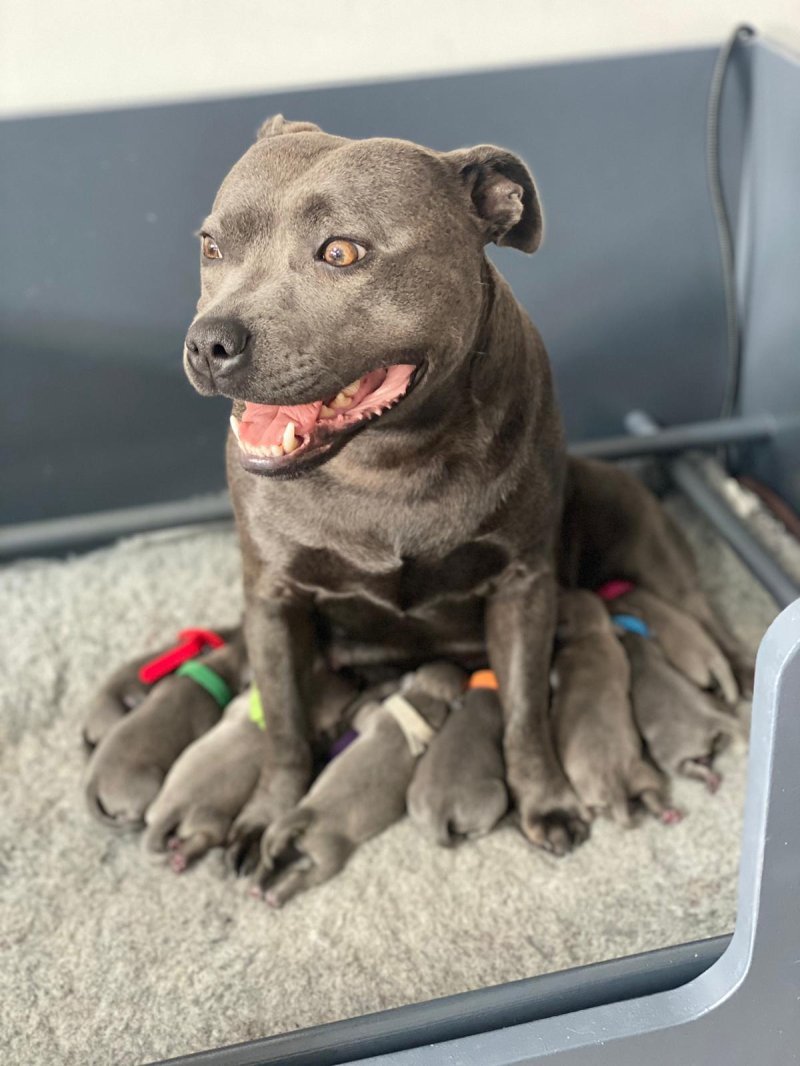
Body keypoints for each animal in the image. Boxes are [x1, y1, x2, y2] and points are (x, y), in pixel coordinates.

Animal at [257, 660, 467, 903]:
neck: (423, 702)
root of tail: (308, 814)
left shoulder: (369, 714)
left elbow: (358, 711)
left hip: (327, 856)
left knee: (302, 874)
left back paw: (273, 893)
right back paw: (260, 883)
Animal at [550, 592, 678, 822]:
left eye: (564, 598)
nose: (560, 590)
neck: (592, 631)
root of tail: (614, 783)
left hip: (589, 791)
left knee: (596, 810)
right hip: (642, 774)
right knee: (650, 794)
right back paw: (665, 811)